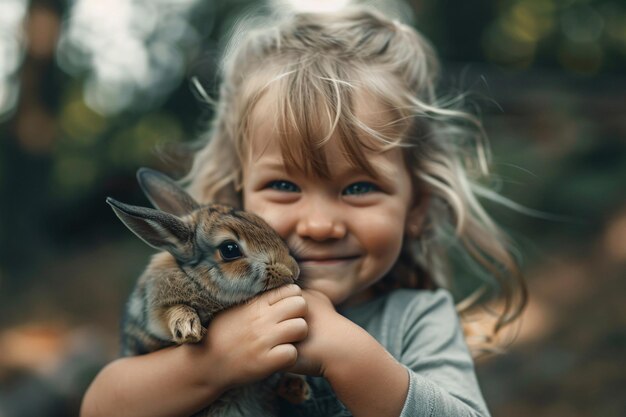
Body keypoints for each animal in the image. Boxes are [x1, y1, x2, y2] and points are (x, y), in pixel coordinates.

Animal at [109, 167, 310, 416]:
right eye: (229, 249)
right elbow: (171, 312)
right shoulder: (154, 308)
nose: (293, 270)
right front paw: (188, 329)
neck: (196, 280)